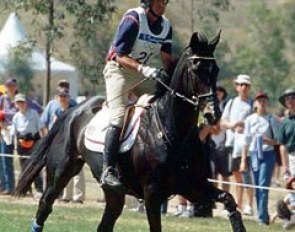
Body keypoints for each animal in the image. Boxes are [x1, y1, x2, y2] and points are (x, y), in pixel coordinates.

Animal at [15, 32, 247, 232]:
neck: (174, 132)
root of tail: (73, 110)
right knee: (45, 204)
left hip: (114, 193)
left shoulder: (190, 185)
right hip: (61, 171)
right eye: (195, 69)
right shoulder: (152, 192)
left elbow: (228, 200)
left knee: (105, 223)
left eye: (215, 69)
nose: (212, 114)